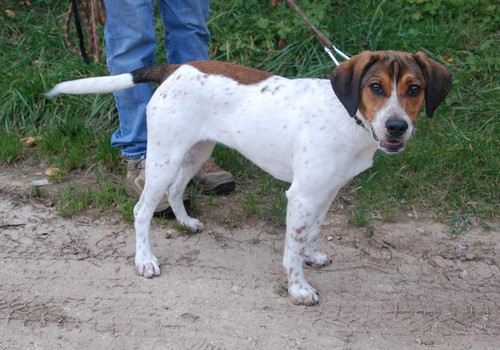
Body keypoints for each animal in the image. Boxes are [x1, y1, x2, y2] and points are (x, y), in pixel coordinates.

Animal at [47, 50, 454, 304]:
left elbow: (311, 233)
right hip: (164, 157)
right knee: (141, 211)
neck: (347, 115)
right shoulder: (302, 195)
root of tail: (174, 67)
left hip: (197, 152)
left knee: (178, 189)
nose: (397, 127)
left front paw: (311, 255)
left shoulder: (327, 191)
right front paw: (298, 289)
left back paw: (186, 222)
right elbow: (291, 249)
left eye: (414, 89)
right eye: (375, 87)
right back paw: (145, 260)